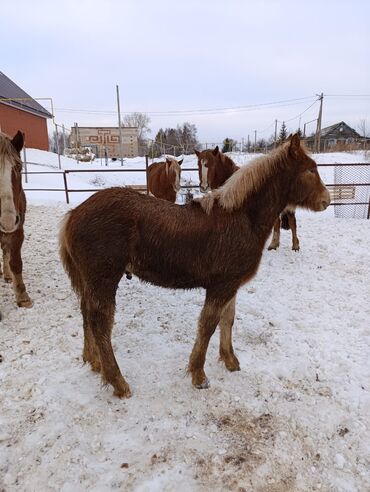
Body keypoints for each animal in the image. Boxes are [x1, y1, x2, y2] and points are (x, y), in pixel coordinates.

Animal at [60, 135, 330, 400]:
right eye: (310, 170)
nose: (326, 200)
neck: (241, 217)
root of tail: (73, 214)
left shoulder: (231, 285)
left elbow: (228, 320)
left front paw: (230, 360)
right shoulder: (220, 287)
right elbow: (208, 325)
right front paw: (199, 375)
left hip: (91, 281)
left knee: (86, 313)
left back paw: (94, 362)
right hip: (104, 279)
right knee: (100, 323)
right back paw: (118, 382)